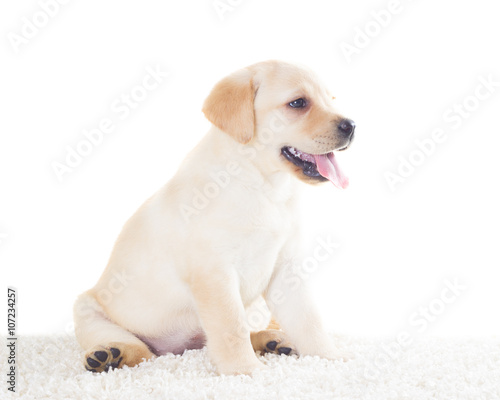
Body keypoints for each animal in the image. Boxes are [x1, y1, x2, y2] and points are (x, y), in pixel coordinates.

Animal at [74, 59, 356, 376]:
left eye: (331, 100)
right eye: (298, 103)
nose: (352, 126)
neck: (262, 185)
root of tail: (178, 349)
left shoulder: (287, 268)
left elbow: (309, 320)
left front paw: (330, 357)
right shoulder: (215, 274)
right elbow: (231, 327)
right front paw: (246, 370)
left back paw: (274, 340)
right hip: (89, 312)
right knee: (140, 350)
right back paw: (111, 355)